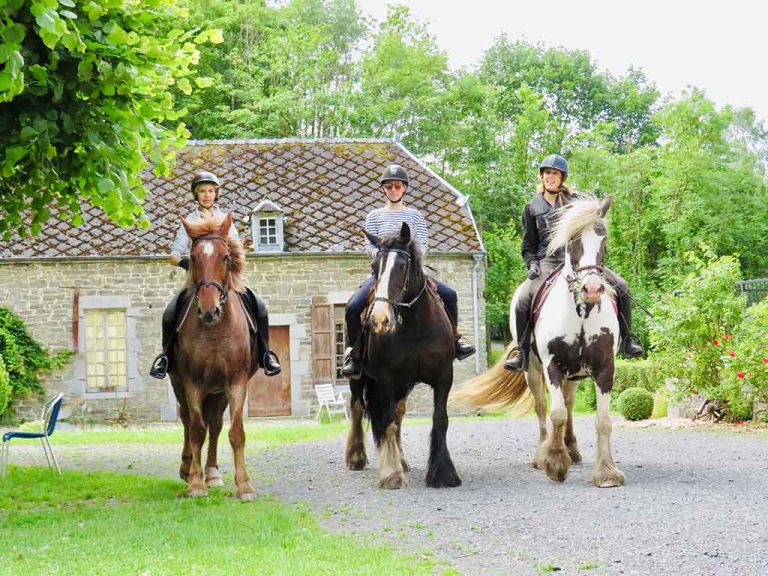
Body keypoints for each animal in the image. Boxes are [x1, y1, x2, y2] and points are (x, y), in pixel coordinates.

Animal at [168, 213, 258, 499]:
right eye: (193, 258)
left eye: (226, 257)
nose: (210, 311)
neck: (215, 331)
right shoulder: (192, 384)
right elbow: (196, 430)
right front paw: (196, 484)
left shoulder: (236, 383)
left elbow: (236, 432)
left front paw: (244, 486)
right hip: (179, 385)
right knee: (189, 422)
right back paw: (188, 469)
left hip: (219, 392)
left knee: (216, 425)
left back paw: (213, 473)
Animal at [345, 222, 462, 489]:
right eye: (374, 267)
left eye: (401, 266)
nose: (379, 320)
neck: (415, 326)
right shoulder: (386, 379)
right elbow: (387, 422)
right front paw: (391, 475)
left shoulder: (444, 376)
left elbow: (440, 420)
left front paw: (443, 473)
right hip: (359, 378)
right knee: (357, 407)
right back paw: (356, 457)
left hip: (405, 384)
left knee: (398, 413)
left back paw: (402, 460)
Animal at [452, 196, 624, 487]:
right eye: (573, 241)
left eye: (603, 238)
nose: (591, 289)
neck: (581, 311)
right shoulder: (552, 366)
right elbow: (556, 414)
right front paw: (554, 463)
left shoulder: (604, 368)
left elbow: (603, 420)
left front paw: (606, 471)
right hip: (533, 370)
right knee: (543, 407)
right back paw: (541, 454)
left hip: (574, 375)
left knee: (568, 403)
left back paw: (571, 450)